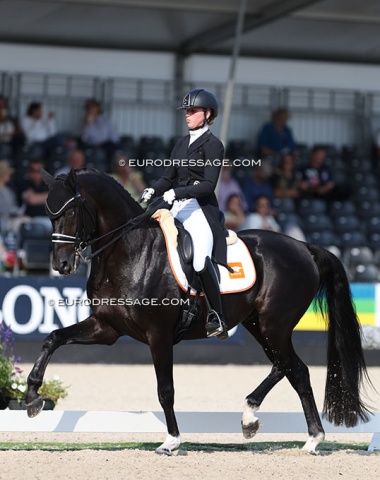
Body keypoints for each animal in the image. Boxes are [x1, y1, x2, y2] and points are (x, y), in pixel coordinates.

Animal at [25, 169, 370, 454]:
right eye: (49, 214)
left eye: (70, 211)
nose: (62, 264)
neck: (130, 252)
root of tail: (304, 247)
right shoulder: (106, 328)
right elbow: (53, 337)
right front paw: (32, 396)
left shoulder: (159, 335)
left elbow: (165, 389)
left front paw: (171, 441)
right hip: (259, 325)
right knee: (287, 367)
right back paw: (261, 422)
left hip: (275, 325)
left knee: (294, 369)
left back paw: (305, 436)